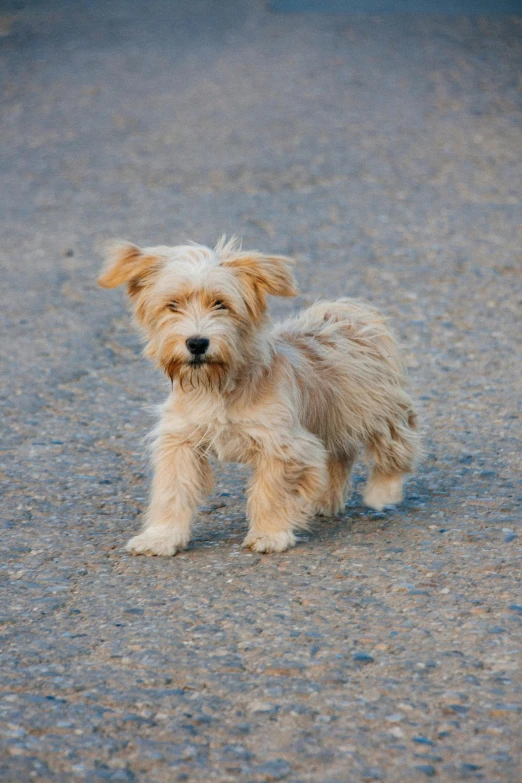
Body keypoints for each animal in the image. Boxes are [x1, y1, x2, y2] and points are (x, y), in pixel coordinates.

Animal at [98, 236, 418, 556]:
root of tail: (348, 309)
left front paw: (269, 533)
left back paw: (383, 492)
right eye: (172, 305)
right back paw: (325, 499)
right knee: (340, 454)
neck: (219, 385)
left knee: (397, 444)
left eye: (221, 304)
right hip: (332, 418)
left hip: (378, 410)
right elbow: (172, 490)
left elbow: (271, 491)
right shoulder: (179, 440)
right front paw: (161, 536)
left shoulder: (282, 445)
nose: (197, 343)